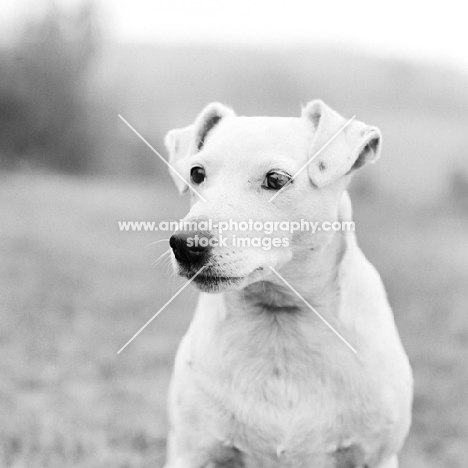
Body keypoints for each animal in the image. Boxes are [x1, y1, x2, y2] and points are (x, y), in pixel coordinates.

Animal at [163, 100, 412, 466]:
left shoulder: (377, 455)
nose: (185, 245)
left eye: (275, 179)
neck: (279, 320)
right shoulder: (192, 451)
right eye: (196, 173)